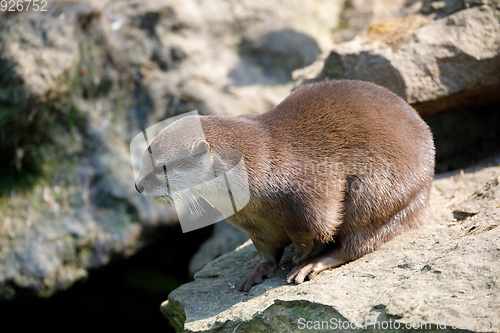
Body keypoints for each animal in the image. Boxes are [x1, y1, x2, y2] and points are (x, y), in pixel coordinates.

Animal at [133, 80, 434, 290]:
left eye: (163, 167)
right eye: (145, 157)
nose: (138, 186)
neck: (261, 164)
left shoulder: (311, 188)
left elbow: (317, 226)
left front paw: (300, 257)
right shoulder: (251, 222)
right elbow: (265, 248)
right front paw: (259, 270)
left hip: (378, 194)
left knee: (357, 242)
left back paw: (314, 264)